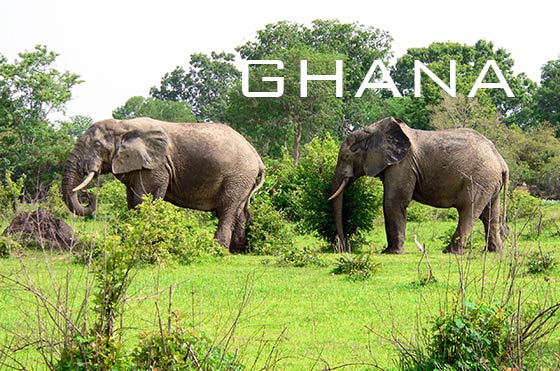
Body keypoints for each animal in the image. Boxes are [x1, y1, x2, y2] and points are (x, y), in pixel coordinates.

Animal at [61, 117, 264, 254]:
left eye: (97, 144)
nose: (88, 196)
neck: (123, 125)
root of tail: (257, 156)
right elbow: (132, 202)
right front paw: (127, 244)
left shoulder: (156, 166)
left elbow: (144, 199)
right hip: (243, 181)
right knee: (240, 211)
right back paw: (237, 250)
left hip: (237, 177)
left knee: (226, 211)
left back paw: (217, 250)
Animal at [330, 117, 510, 254]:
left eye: (347, 156)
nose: (343, 248)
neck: (374, 130)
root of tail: (500, 160)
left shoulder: (402, 165)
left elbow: (393, 202)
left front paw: (391, 253)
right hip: (489, 182)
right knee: (489, 214)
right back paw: (492, 251)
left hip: (479, 179)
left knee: (469, 211)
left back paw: (450, 252)